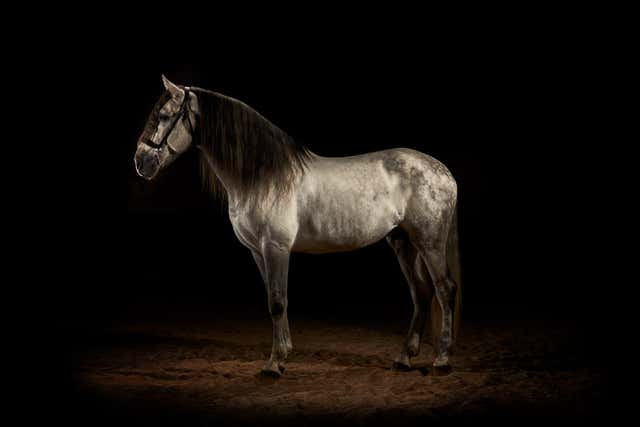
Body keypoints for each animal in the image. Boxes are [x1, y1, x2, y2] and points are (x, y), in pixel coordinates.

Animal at [134, 75, 462, 377]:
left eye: (164, 116)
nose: (141, 162)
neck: (263, 177)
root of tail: (443, 171)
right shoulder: (258, 251)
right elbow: (273, 300)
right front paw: (282, 357)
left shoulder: (276, 247)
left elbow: (278, 302)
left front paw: (273, 364)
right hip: (403, 242)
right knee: (421, 293)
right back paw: (404, 358)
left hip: (429, 242)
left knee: (444, 289)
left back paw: (442, 360)